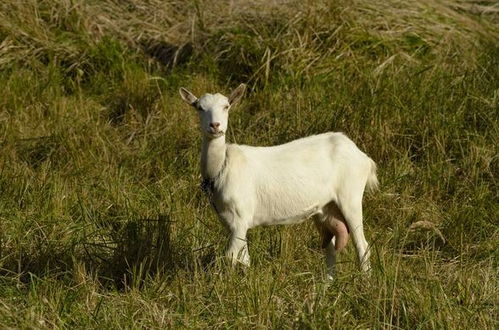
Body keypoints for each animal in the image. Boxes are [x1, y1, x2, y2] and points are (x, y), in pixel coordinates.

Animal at [180, 84, 378, 278]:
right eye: (199, 107)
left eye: (226, 106)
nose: (215, 125)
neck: (222, 167)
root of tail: (363, 157)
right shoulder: (230, 220)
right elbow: (244, 259)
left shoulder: (240, 216)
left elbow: (231, 257)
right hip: (326, 208)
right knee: (330, 246)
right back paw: (327, 283)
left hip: (350, 195)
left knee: (362, 246)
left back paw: (365, 281)